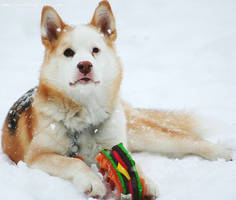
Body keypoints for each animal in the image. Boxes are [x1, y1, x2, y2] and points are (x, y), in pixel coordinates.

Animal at [0, 0, 231, 199]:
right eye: (68, 52)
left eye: (95, 50)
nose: (85, 65)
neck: (86, 116)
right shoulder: (37, 156)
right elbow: (75, 163)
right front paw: (92, 181)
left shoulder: (116, 144)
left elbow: (134, 163)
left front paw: (145, 180)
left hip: (145, 133)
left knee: (188, 140)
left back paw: (221, 152)